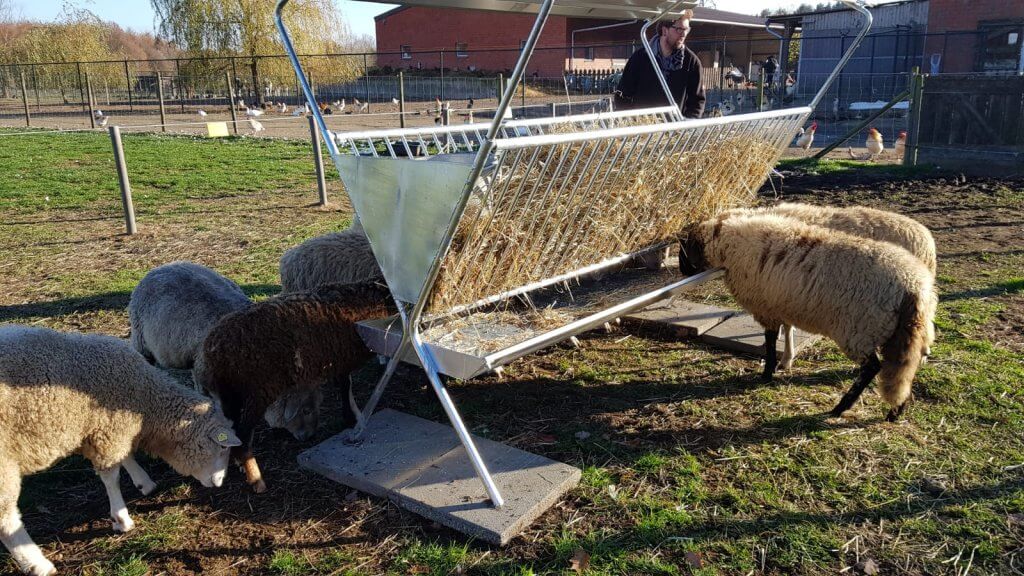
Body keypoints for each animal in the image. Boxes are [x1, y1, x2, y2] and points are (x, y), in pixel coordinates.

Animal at [0, 325, 240, 576]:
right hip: (4, 465)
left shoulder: (109, 430)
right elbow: (112, 477)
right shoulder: (109, 429)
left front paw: (144, 482)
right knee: (7, 521)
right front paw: (121, 518)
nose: (220, 482)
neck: (147, 402)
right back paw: (38, 564)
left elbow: (127, 457)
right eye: (222, 449)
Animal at [193, 281, 395, 493]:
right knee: (244, 435)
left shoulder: (339, 360)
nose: (308, 437)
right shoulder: (341, 360)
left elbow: (344, 384)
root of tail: (209, 354)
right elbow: (345, 385)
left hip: (230, 397)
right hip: (257, 391)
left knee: (234, 431)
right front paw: (351, 417)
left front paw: (349, 416)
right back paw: (256, 479)